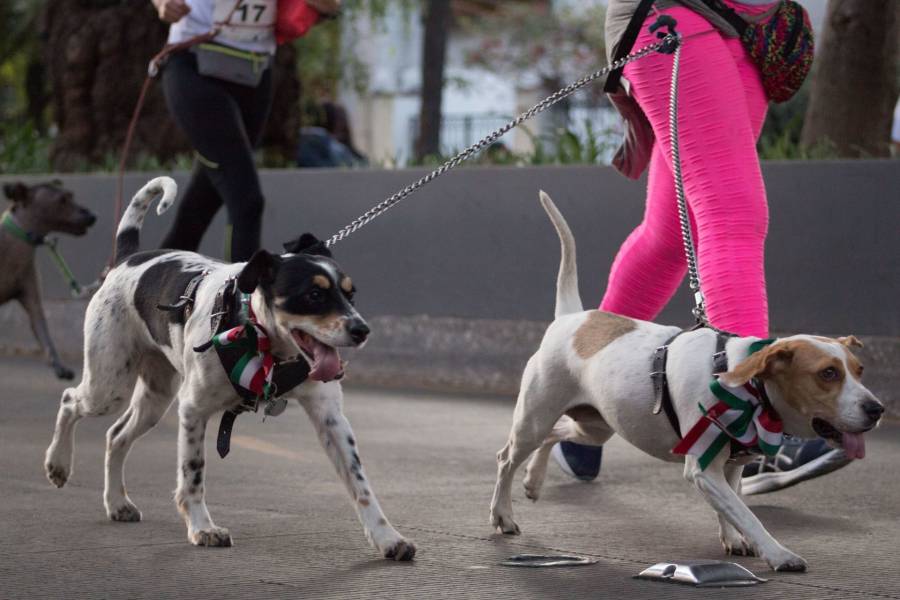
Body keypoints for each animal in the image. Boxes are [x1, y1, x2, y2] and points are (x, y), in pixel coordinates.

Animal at [0, 182, 95, 380]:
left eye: (71, 195)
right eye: (62, 199)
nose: (92, 216)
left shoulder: (31, 297)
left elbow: (45, 334)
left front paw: (59, 366)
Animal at [44, 176, 416, 560]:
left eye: (350, 294)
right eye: (314, 295)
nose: (362, 330)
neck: (260, 336)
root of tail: (127, 258)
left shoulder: (331, 418)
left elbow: (361, 484)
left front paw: (387, 537)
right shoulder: (193, 410)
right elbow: (193, 474)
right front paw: (202, 527)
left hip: (154, 399)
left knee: (116, 435)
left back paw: (117, 502)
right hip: (109, 386)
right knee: (70, 400)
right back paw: (59, 463)